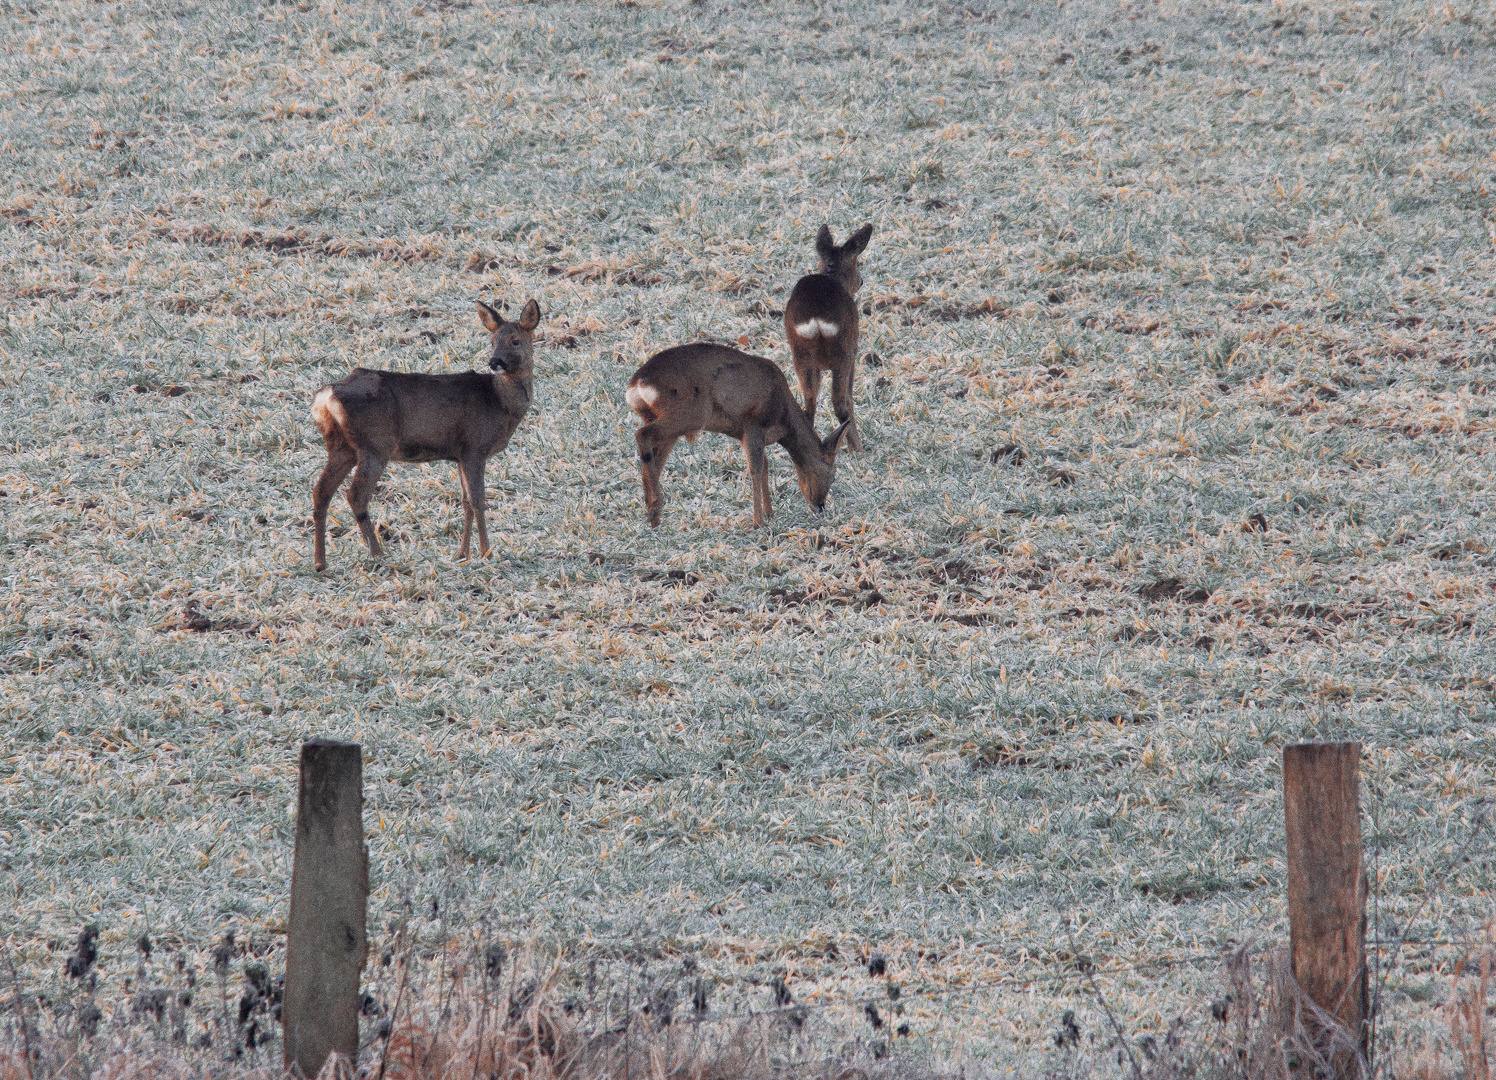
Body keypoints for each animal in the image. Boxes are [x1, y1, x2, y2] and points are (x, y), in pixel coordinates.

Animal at [306, 299, 541, 568]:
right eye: (493, 341)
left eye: (515, 340)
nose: (494, 362)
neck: (500, 402)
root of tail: (326, 397)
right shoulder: (474, 446)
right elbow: (478, 501)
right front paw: (487, 553)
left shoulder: (459, 454)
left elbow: (465, 502)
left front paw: (462, 554)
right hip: (375, 443)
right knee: (355, 495)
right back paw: (378, 555)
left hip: (341, 446)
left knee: (321, 492)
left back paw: (320, 562)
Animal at [622, 342, 855, 526]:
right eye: (833, 475)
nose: (820, 506)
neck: (784, 420)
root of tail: (637, 383)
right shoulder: (753, 424)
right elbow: (756, 468)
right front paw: (758, 521)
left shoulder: (744, 433)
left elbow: (765, 466)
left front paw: (769, 514)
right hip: (690, 413)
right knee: (642, 435)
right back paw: (655, 507)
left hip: (662, 419)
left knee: (655, 456)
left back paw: (653, 512)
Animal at [783, 222, 873, 448]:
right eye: (857, 263)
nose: (861, 281)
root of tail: (816, 320)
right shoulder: (853, 350)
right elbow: (849, 396)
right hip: (844, 351)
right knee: (840, 401)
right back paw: (857, 449)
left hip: (800, 354)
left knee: (808, 404)